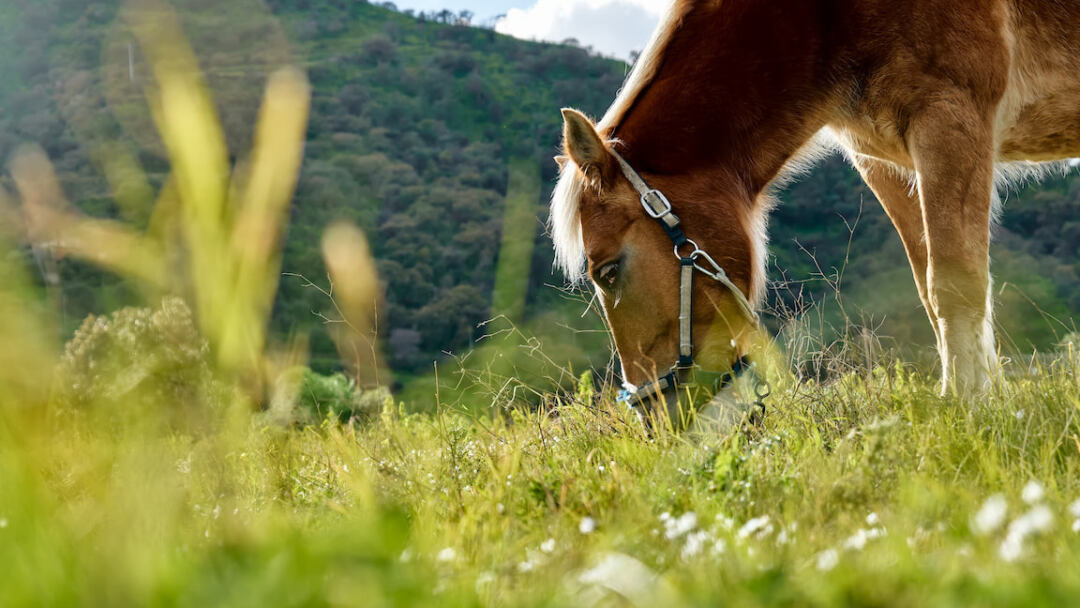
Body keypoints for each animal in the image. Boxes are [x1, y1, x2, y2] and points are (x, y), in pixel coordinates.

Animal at [552, 0, 1080, 399]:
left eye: (608, 272)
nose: (654, 414)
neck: (823, 17)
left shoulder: (949, 119)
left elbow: (956, 285)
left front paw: (969, 409)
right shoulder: (886, 163)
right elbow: (932, 293)